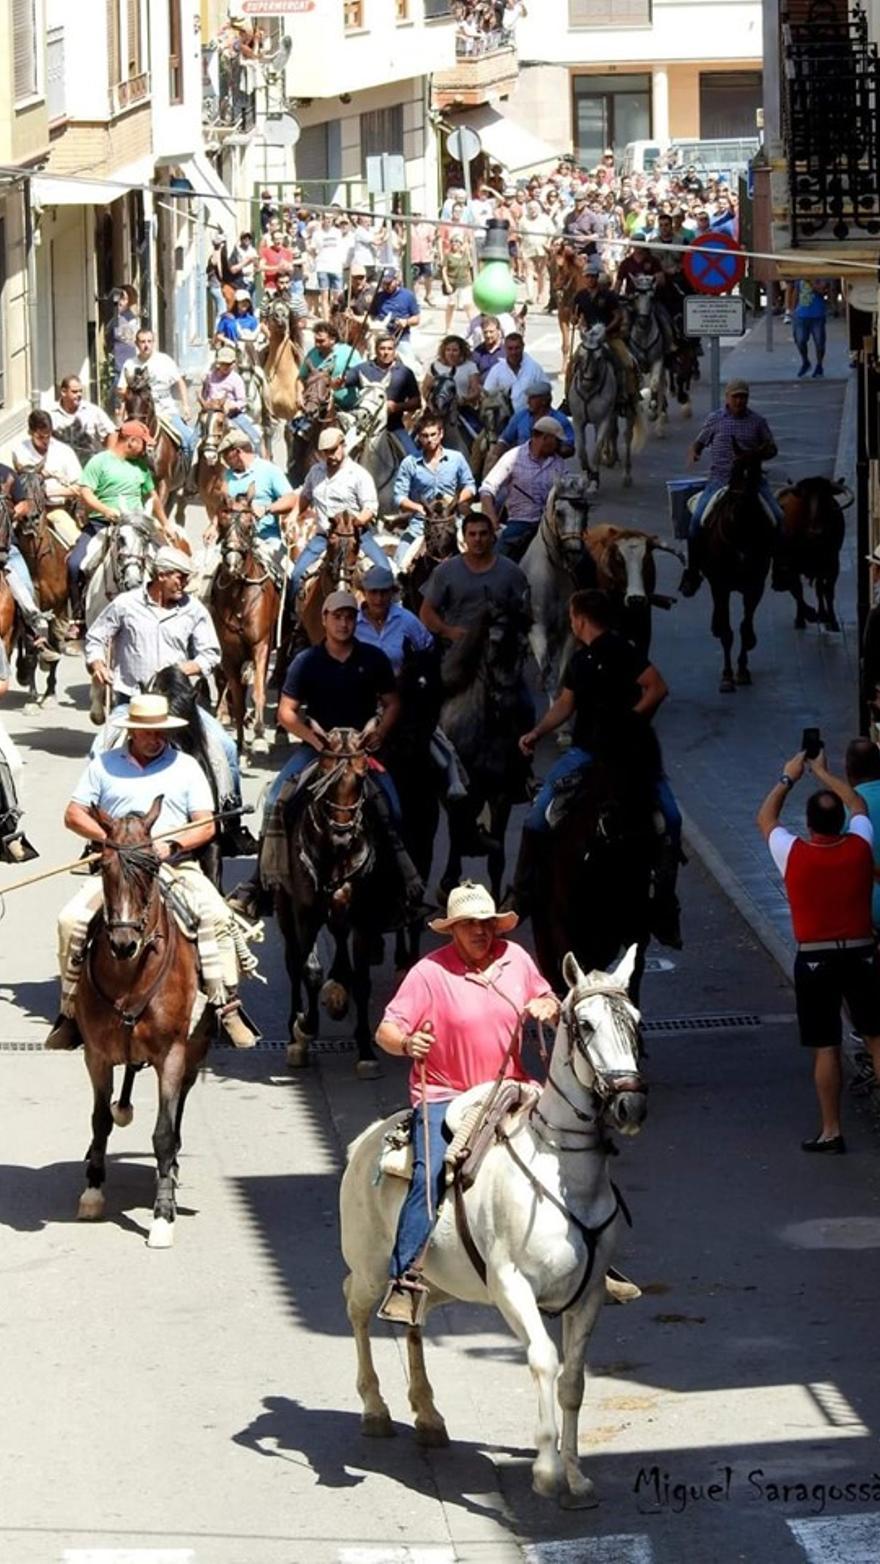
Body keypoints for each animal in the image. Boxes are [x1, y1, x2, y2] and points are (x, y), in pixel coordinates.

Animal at [73, 800, 207, 1251]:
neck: (130, 976)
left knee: (180, 1105)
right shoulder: (96, 1055)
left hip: (195, 1051)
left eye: (151, 868)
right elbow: (99, 1119)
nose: (124, 943)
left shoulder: (172, 1054)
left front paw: (162, 1214)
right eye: (105, 867)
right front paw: (93, 1189)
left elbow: (164, 1131)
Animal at [209, 491, 278, 753]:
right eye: (222, 521)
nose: (232, 563)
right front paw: (239, 745)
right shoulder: (229, 654)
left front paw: (258, 736)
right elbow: (237, 697)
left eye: (249, 526)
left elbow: (258, 691)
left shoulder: (261, 645)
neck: (239, 596)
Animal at [337, 944, 647, 1507]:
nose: (630, 1104)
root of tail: (365, 1140)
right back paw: (375, 1410)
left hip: (436, 1283)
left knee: (413, 1321)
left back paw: (428, 1415)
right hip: (371, 1269)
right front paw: (546, 1471)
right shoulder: (512, 1287)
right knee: (356, 1307)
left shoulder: (589, 1295)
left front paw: (576, 1477)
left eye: (634, 1020)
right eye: (585, 1025)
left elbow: (573, 1381)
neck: (560, 1171)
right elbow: (544, 1359)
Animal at [700, 447, 775, 691]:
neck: (740, 532)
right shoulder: (721, 585)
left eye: (755, 471)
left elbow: (744, 626)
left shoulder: (754, 586)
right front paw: (727, 676)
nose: (737, 506)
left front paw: (742, 670)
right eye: (733, 468)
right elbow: (727, 631)